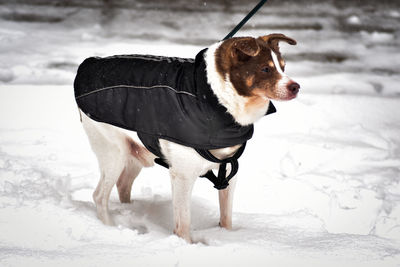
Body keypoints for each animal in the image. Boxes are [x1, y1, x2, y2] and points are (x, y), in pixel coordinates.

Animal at [75, 33, 300, 243]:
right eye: (265, 69)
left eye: (283, 67)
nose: (296, 87)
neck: (215, 98)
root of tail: (89, 64)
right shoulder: (183, 174)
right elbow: (183, 223)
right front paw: (186, 246)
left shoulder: (230, 168)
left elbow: (226, 217)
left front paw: (227, 236)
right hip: (114, 152)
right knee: (100, 195)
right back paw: (110, 228)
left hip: (135, 152)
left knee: (123, 185)